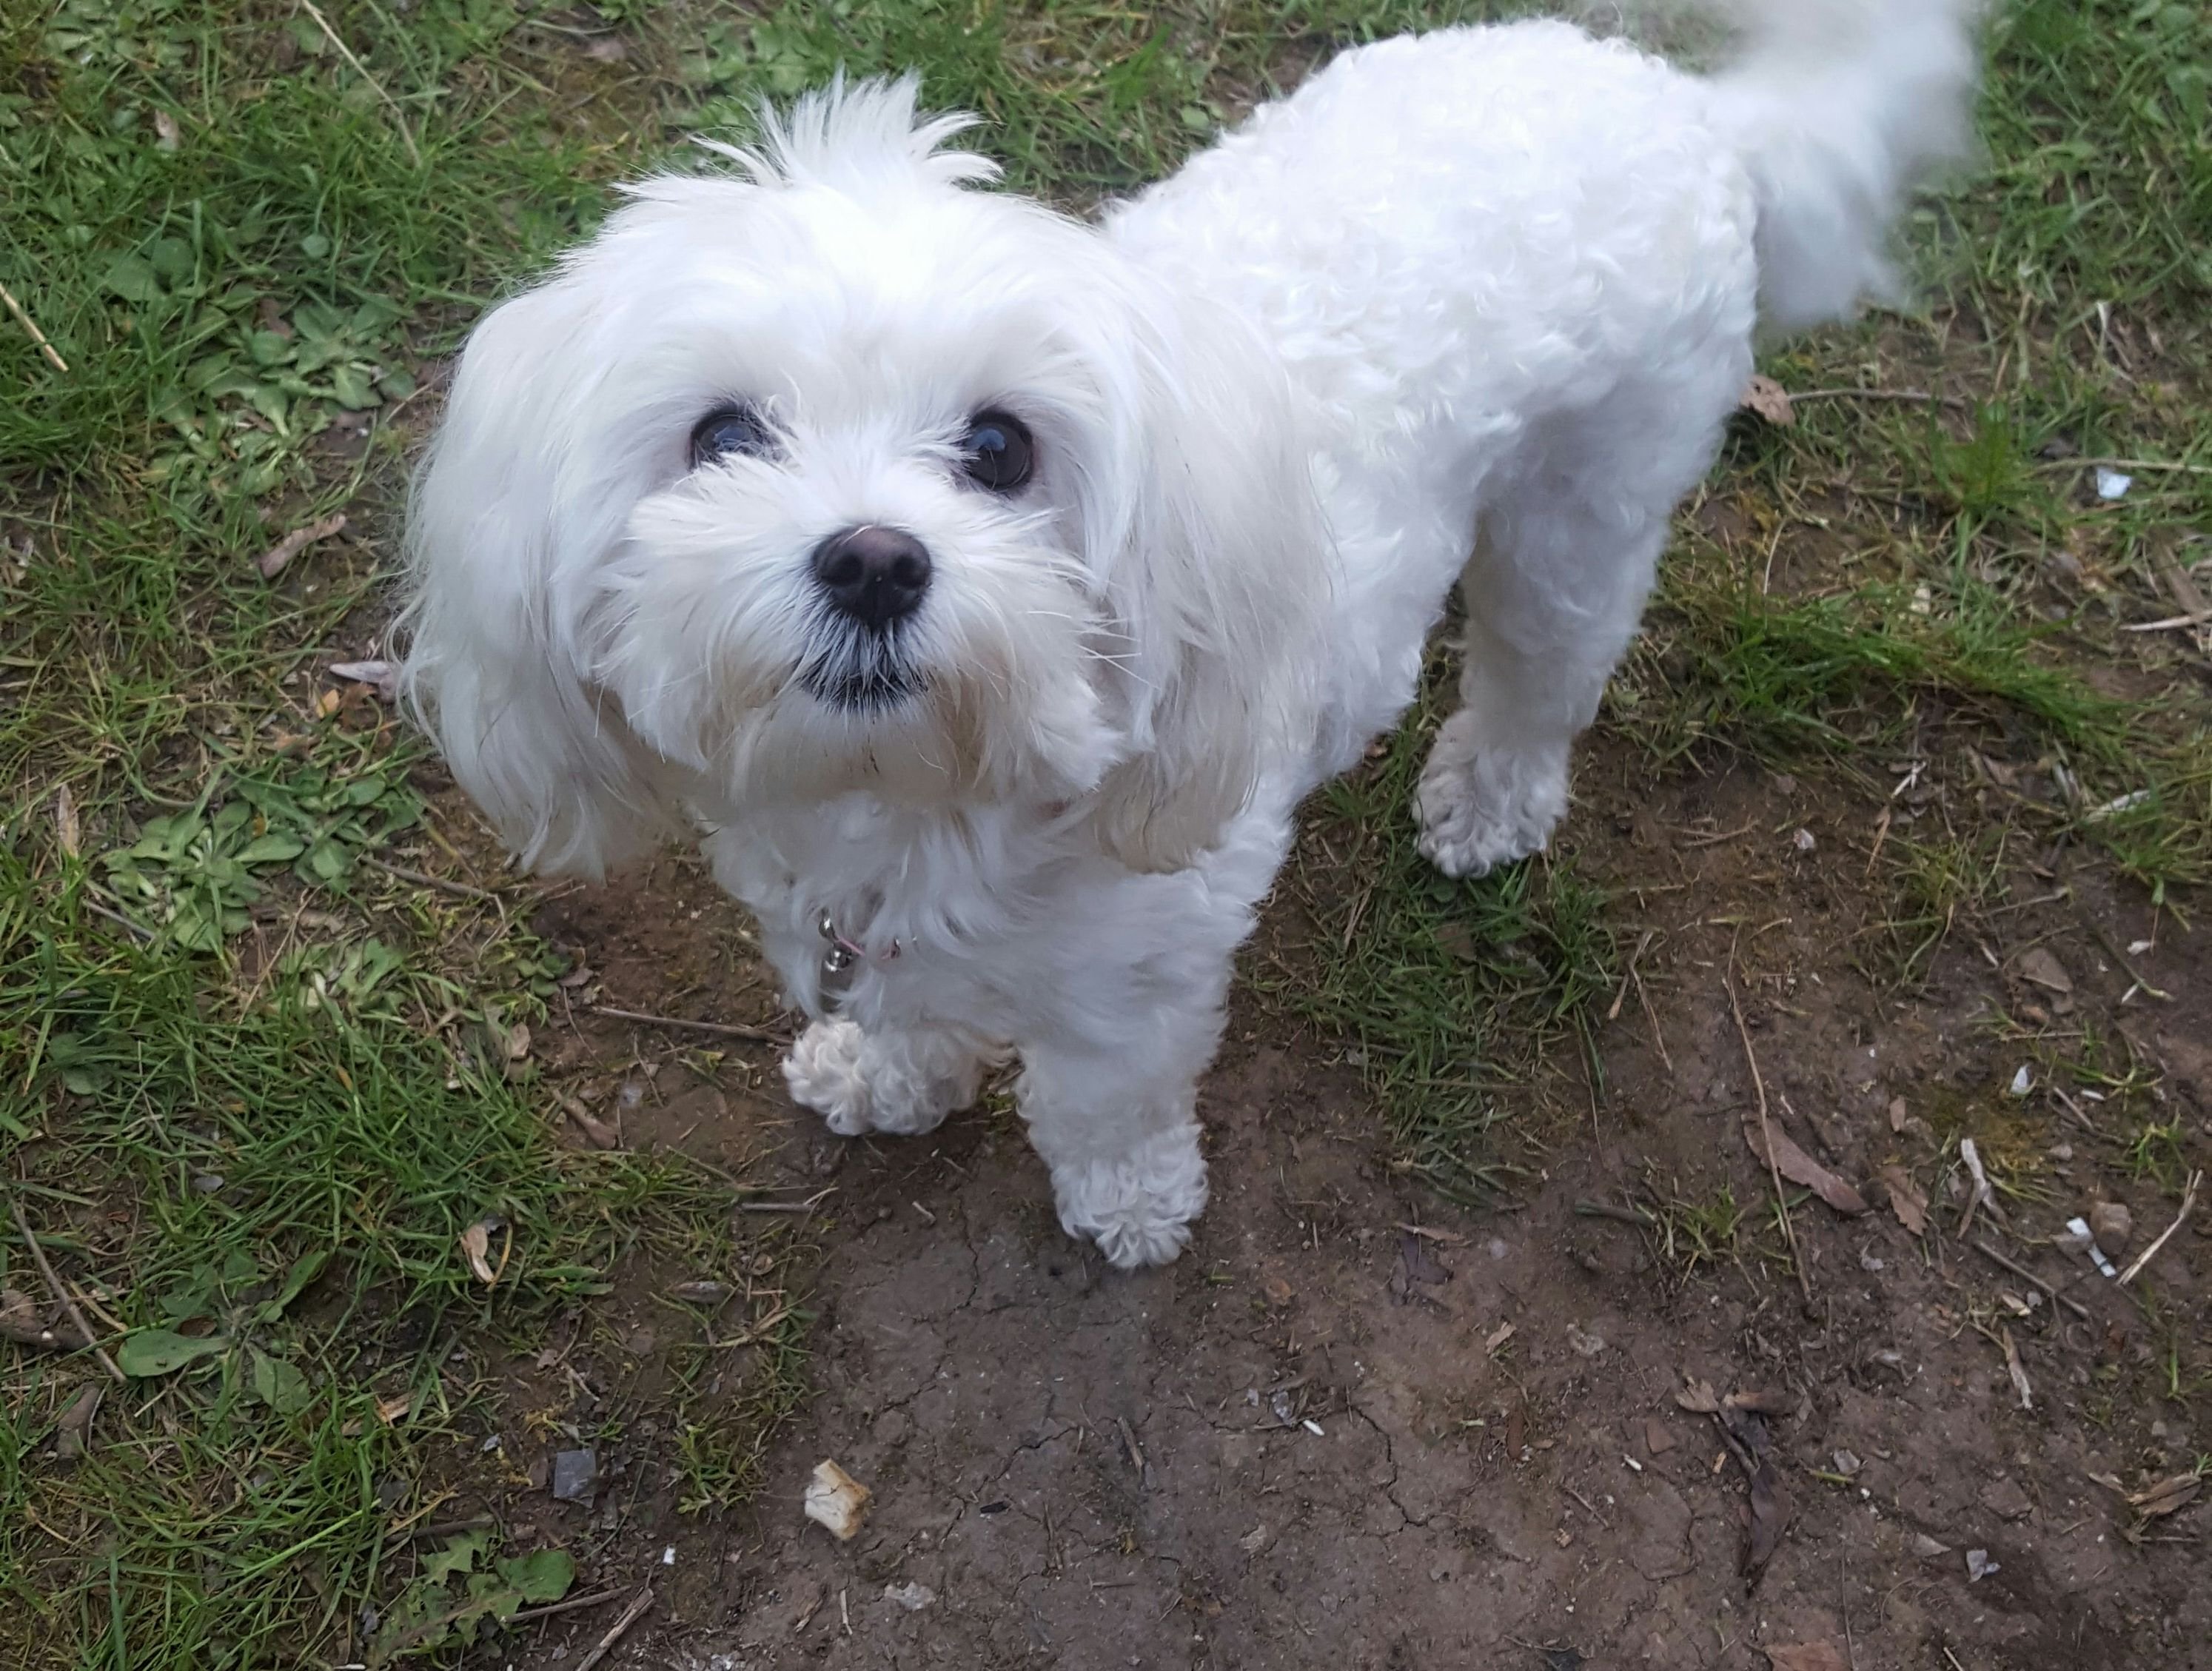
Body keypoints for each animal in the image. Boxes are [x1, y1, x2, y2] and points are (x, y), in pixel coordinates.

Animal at [400, 1, 1979, 1267]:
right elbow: (906, 1011)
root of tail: (1685, 106)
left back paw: (1489, 798)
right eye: (723, 434)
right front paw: (889, 1073)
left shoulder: (1140, 975)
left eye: (998, 446)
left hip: (1580, 507)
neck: (914, 798)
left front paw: (1129, 1206)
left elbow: (1101, 1102)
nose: (871, 560)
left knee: (1542, 674)